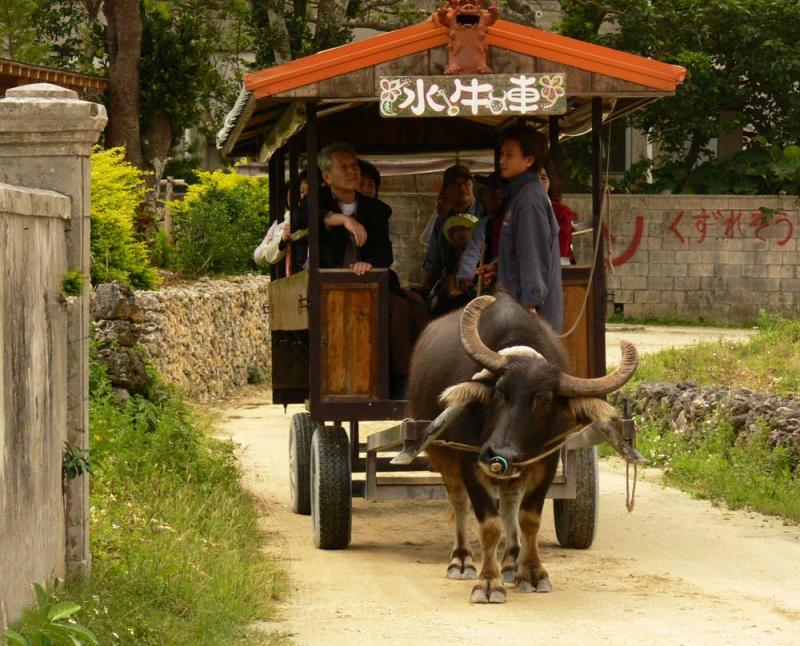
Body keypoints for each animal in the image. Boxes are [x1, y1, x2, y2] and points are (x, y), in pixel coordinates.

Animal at [406, 296, 636, 604]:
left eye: (544, 400)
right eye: (499, 391)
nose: (499, 454)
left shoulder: (546, 461)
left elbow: (528, 518)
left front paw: (532, 573)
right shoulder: (469, 460)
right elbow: (489, 523)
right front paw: (487, 583)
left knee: (510, 502)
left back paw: (511, 561)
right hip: (444, 457)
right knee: (459, 501)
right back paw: (462, 560)